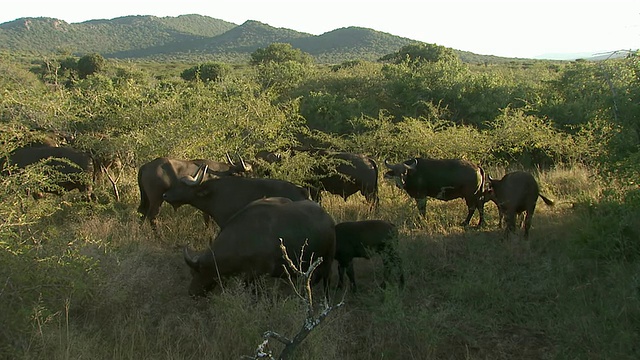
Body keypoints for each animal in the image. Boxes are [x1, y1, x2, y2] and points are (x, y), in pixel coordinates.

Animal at [181, 198, 336, 296]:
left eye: (199, 271)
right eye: (191, 273)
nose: (191, 293)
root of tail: (328, 218)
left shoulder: (259, 274)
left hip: (327, 260)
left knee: (327, 280)